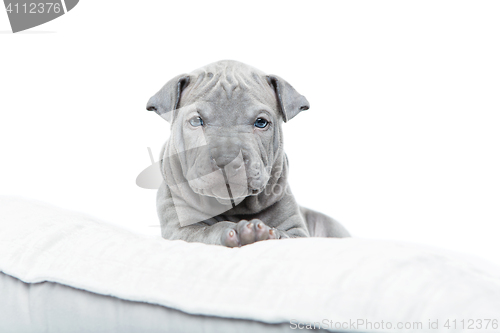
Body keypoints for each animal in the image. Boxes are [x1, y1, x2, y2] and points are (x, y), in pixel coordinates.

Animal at [146, 60, 350, 246]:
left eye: (261, 122)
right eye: (196, 121)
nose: (227, 161)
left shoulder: (297, 230)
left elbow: (287, 235)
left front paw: (272, 233)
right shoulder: (182, 228)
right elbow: (209, 229)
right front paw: (238, 232)